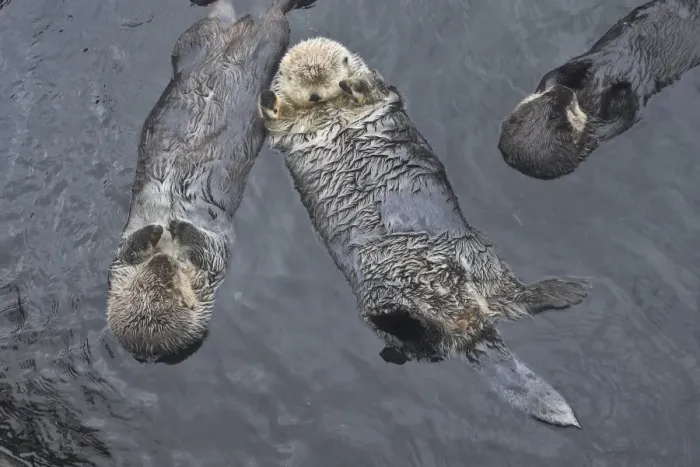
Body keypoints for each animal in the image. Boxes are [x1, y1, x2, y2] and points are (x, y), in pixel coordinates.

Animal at [107, 0, 318, 364]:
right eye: (154, 284)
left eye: (172, 282)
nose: (162, 258)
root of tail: (241, 29)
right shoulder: (205, 264)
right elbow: (198, 250)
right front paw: (165, 229)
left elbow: (186, 246)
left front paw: (169, 228)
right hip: (228, 40)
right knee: (258, 17)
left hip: (214, 40)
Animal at [258, 38, 591, 427]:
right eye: (304, 87)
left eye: (331, 76)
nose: (317, 95)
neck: (328, 110)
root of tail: (469, 327)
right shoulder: (287, 132)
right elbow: (277, 120)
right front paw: (269, 97)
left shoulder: (382, 94)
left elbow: (374, 90)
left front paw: (352, 85)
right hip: (386, 291)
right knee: (435, 336)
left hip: (476, 255)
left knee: (504, 302)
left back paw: (567, 290)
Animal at [499, 0, 700, 180]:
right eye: (567, 111)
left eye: (549, 97)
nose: (565, 92)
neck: (587, 96)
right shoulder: (603, 129)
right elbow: (628, 111)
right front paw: (620, 86)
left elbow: (555, 73)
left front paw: (581, 70)